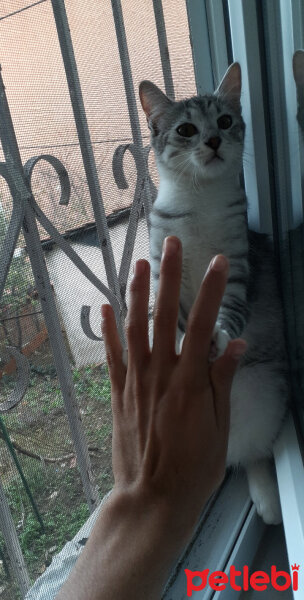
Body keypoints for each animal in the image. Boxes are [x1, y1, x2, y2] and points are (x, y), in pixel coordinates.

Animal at [139, 63, 288, 524]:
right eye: (186, 129)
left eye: (224, 121)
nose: (214, 140)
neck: (199, 202)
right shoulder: (166, 271)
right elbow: (174, 319)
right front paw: (181, 343)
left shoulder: (237, 272)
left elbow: (228, 314)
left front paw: (215, 336)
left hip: (263, 395)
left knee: (249, 454)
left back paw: (268, 500)